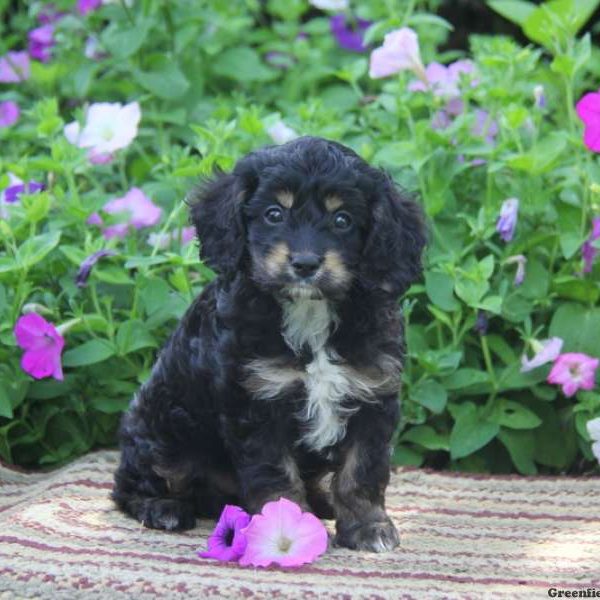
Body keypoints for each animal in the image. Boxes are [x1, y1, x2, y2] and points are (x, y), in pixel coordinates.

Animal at [112, 137, 426, 552]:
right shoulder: (257, 402)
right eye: (274, 214)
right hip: (162, 430)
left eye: (342, 220)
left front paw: (367, 526)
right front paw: (283, 528)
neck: (310, 312)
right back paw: (162, 507)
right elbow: (276, 475)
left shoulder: (372, 396)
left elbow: (361, 471)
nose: (305, 263)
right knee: (132, 484)